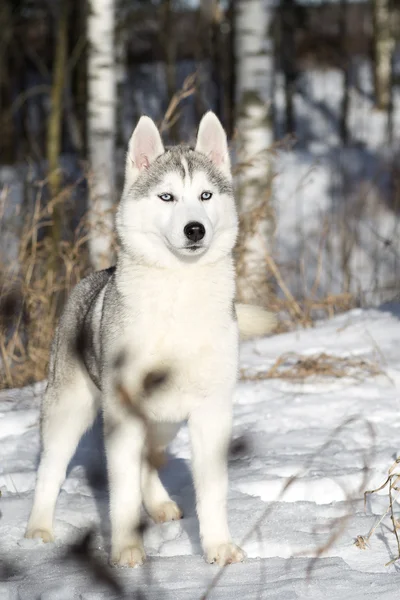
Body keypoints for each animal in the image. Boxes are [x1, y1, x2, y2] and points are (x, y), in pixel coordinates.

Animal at [25, 112, 276, 568]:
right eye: (167, 197)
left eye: (205, 194)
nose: (194, 229)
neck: (179, 295)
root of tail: (94, 277)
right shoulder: (122, 413)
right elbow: (121, 493)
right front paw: (126, 551)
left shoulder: (211, 412)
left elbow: (212, 491)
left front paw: (217, 548)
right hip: (68, 412)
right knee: (50, 470)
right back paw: (38, 530)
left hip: (165, 422)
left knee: (148, 460)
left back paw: (159, 505)